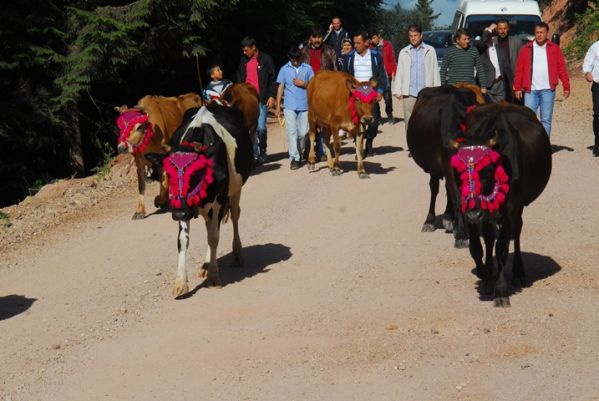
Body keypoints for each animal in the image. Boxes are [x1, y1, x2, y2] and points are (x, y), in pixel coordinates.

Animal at [165, 103, 254, 296]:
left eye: (195, 174)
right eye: (168, 175)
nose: (179, 214)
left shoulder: (219, 201)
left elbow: (213, 237)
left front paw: (214, 277)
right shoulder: (183, 207)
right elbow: (183, 240)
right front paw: (180, 283)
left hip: (235, 190)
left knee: (235, 215)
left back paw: (237, 255)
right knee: (209, 225)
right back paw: (206, 265)